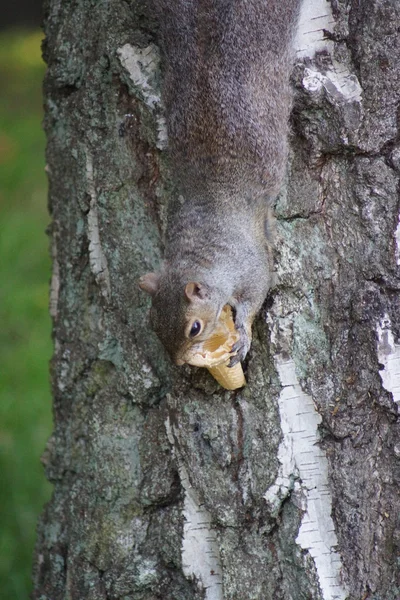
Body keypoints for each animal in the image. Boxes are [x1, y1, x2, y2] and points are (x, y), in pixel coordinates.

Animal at [141, 0, 300, 368]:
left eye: (194, 328)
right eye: (152, 324)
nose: (179, 364)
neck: (199, 252)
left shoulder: (251, 264)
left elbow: (256, 294)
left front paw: (242, 333)